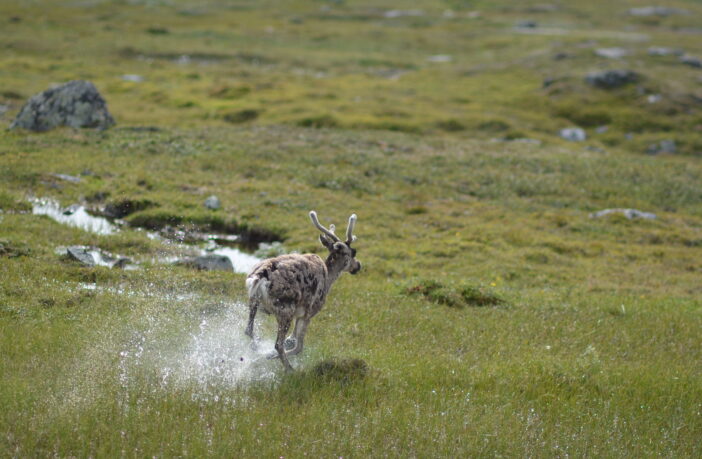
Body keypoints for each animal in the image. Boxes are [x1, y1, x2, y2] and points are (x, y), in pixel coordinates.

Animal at [245, 211, 361, 371]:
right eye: (353, 252)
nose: (358, 266)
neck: (329, 280)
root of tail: (260, 277)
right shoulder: (309, 312)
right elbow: (298, 346)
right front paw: (269, 356)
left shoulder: (299, 314)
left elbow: (292, 340)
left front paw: (265, 356)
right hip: (285, 309)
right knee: (278, 344)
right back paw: (289, 369)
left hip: (253, 302)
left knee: (249, 331)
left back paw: (257, 351)